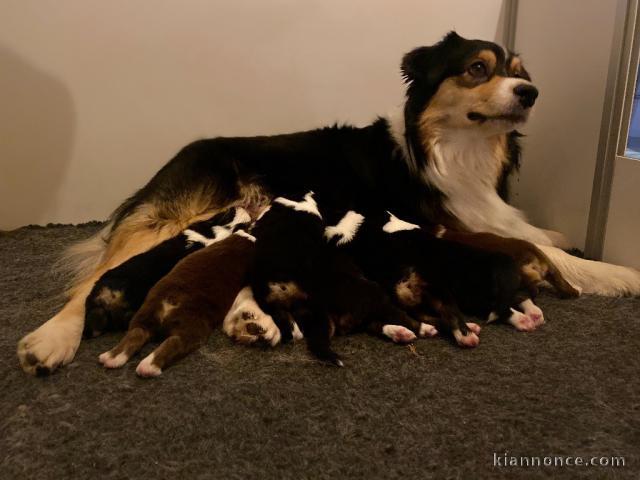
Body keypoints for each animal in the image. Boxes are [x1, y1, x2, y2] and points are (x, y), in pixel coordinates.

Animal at [97, 232, 255, 378]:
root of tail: (170, 302)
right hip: (193, 328)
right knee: (174, 342)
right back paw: (148, 367)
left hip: (145, 314)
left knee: (136, 333)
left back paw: (111, 358)